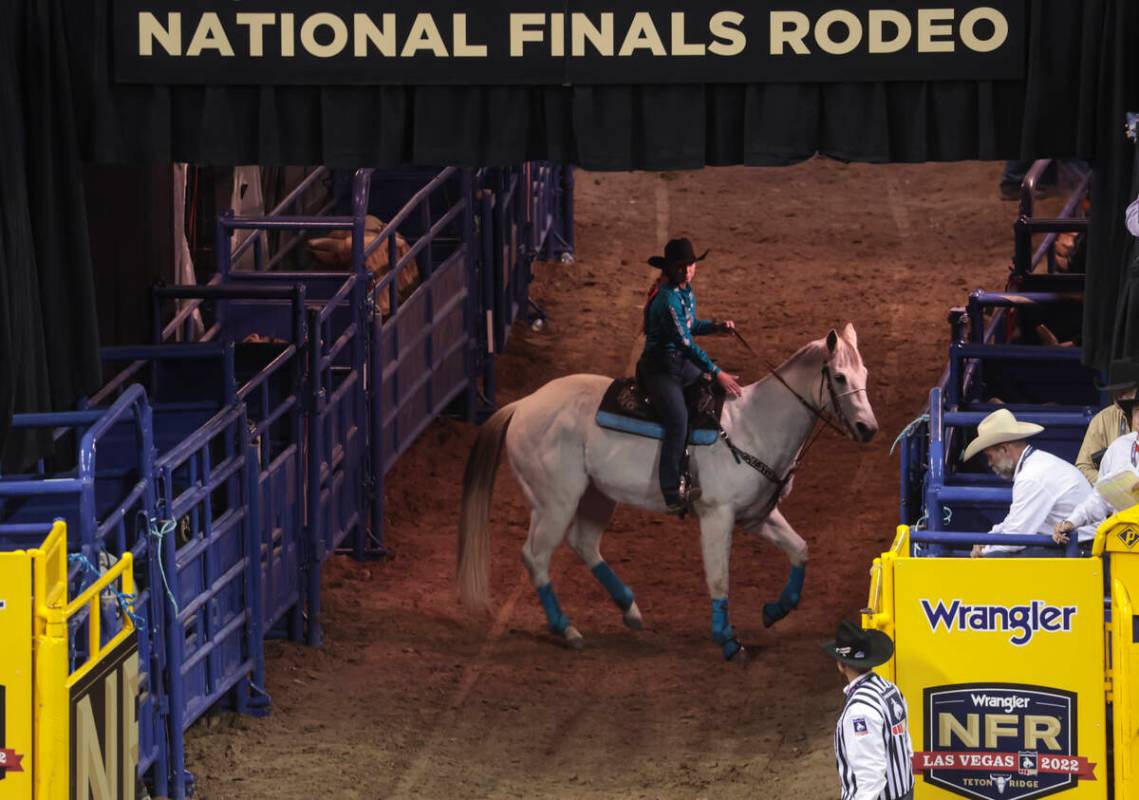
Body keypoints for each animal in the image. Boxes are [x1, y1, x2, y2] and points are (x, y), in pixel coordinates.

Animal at [457, 323, 874, 660]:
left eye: (864, 372)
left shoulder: (757, 516)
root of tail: (523, 405)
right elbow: (719, 577)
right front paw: (727, 640)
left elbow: (800, 550)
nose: (868, 428)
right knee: (536, 556)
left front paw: (774, 611)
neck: (753, 426)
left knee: (584, 543)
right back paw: (568, 628)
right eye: (839, 377)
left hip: (596, 496)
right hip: (555, 503)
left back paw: (630, 609)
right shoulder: (717, 517)